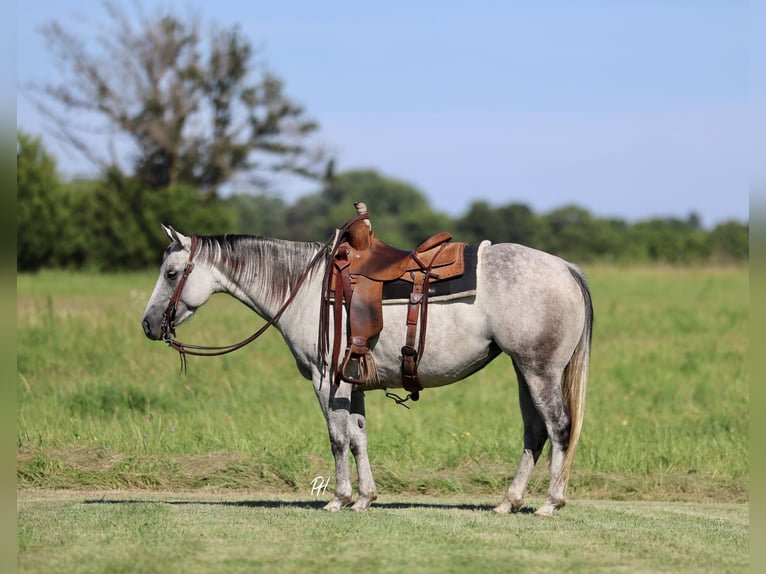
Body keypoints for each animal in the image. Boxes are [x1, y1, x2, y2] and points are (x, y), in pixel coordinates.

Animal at [141, 223, 593, 516]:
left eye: (172, 273)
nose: (148, 325)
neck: (306, 289)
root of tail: (566, 268)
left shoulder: (327, 380)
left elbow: (338, 439)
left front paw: (339, 498)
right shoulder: (351, 383)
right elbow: (359, 438)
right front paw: (364, 498)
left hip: (539, 371)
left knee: (558, 428)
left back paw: (550, 503)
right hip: (524, 371)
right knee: (534, 432)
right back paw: (508, 502)